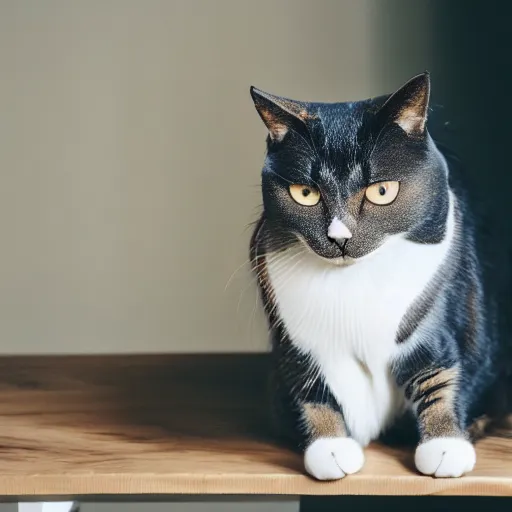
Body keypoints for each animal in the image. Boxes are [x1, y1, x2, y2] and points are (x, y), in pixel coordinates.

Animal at [248, 73, 508, 480]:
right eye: (305, 193)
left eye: (381, 191)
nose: (340, 238)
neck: (354, 281)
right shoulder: (293, 335)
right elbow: (309, 386)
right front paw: (330, 447)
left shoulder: (438, 318)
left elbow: (441, 372)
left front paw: (445, 445)